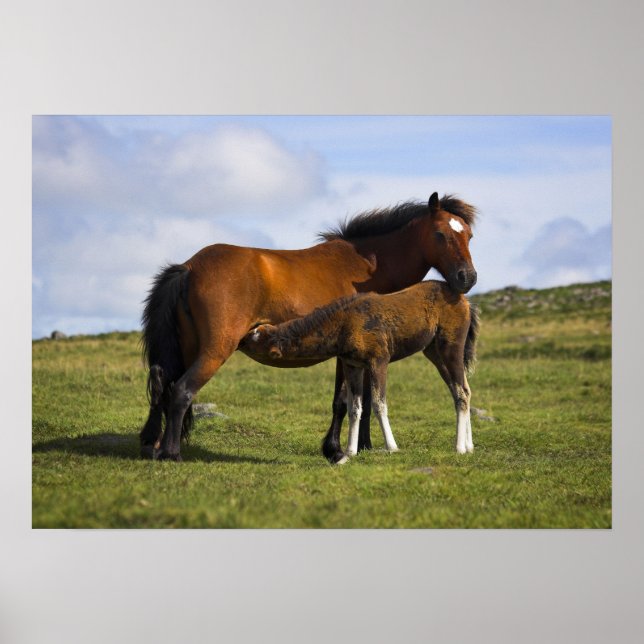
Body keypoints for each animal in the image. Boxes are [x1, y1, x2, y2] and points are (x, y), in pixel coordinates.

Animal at [240, 280, 480, 461]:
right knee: (463, 390)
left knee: (461, 391)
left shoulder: (379, 360)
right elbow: (355, 407)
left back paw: (460, 448)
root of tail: (466, 302)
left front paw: (391, 447)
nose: (240, 338)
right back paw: (469, 446)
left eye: (254, 338)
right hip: (433, 352)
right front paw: (350, 451)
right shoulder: (353, 365)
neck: (342, 326)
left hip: (451, 346)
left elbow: (378, 403)